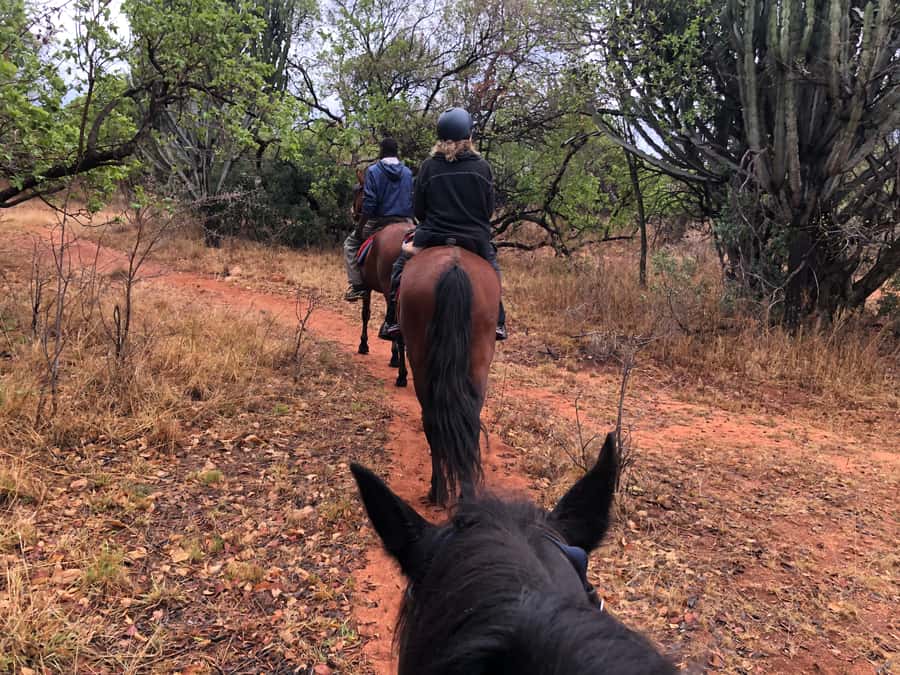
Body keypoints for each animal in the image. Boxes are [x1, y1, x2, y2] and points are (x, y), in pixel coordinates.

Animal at [351, 170, 409, 387]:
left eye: (358, 192)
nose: (354, 214)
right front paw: (394, 357)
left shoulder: (367, 286)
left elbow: (365, 314)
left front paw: (363, 344)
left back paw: (402, 376)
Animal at [398, 245, 499, 505]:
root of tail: (454, 267)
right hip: (478, 364)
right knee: (468, 423)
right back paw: (465, 495)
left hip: (422, 366)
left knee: (433, 422)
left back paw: (437, 491)